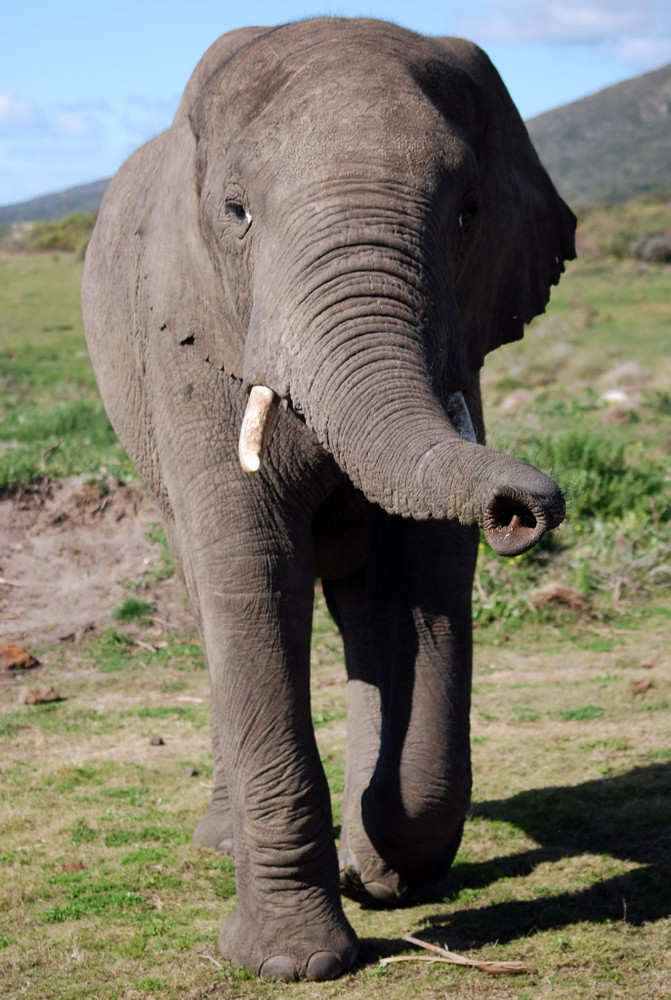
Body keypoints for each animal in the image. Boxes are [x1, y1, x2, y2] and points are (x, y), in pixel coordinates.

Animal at [82, 15, 576, 984]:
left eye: (467, 213)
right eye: (235, 213)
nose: (523, 505)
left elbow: (424, 584)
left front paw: (381, 870)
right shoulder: (191, 349)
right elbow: (254, 572)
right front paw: (290, 963)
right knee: (212, 598)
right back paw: (222, 842)